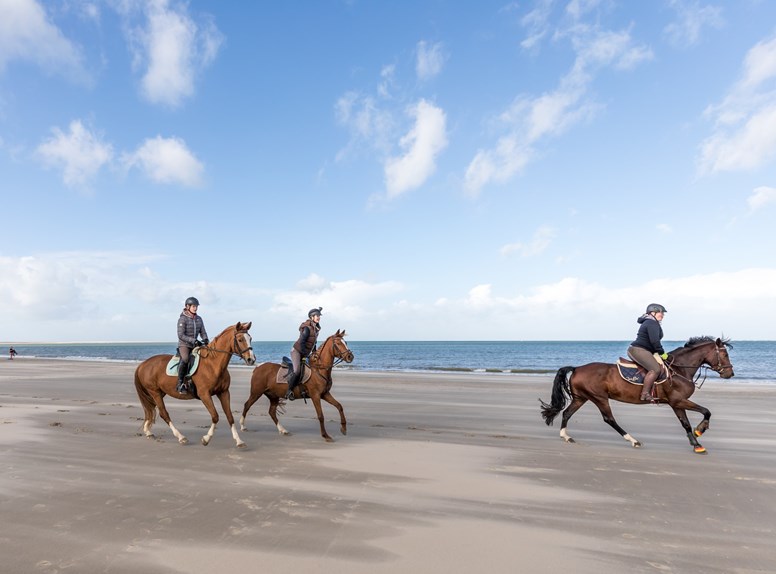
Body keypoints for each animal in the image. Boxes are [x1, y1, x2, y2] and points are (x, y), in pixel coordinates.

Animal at [540, 338, 732, 454]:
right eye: (724, 354)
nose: (730, 373)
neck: (679, 369)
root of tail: (577, 368)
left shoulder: (676, 403)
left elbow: (685, 423)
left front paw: (696, 444)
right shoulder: (678, 401)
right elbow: (706, 411)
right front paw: (700, 430)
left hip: (582, 398)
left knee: (567, 413)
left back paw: (566, 436)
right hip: (599, 398)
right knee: (609, 419)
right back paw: (633, 440)